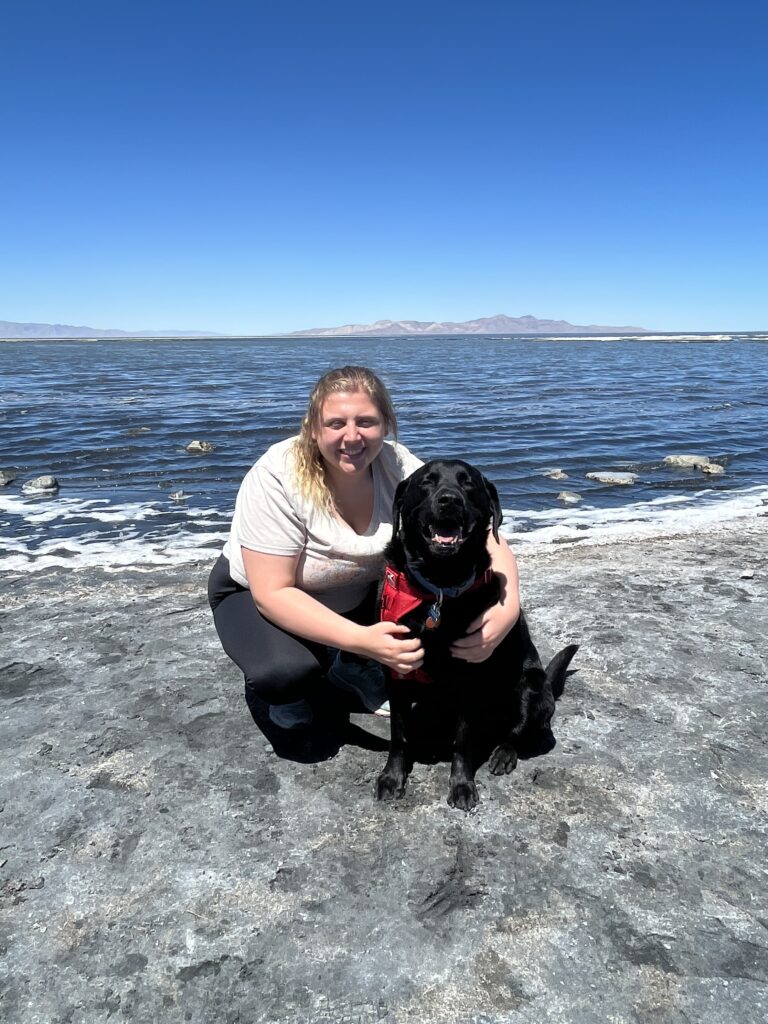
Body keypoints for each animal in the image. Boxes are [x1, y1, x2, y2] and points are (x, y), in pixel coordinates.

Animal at [376, 460, 581, 811]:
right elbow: (398, 734)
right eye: (427, 481)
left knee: (518, 733)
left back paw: (503, 754)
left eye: (468, 483)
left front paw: (461, 785)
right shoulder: (397, 667)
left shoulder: (470, 675)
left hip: (531, 686)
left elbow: (462, 739)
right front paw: (392, 777)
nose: (449, 500)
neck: (440, 585)